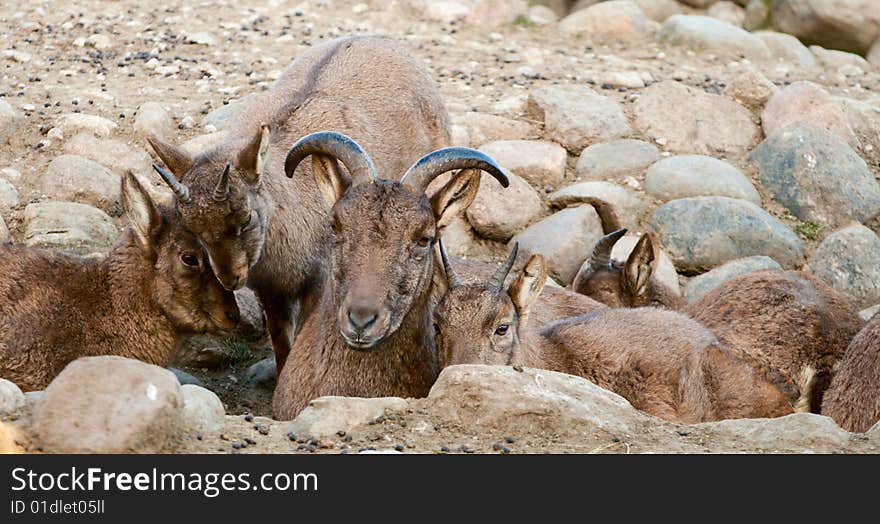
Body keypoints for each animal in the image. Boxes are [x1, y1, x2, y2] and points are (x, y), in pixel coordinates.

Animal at [145, 35, 450, 372]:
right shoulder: (272, 290)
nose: (230, 278)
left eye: (246, 218)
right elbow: (281, 340)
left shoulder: (318, 283)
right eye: (192, 228)